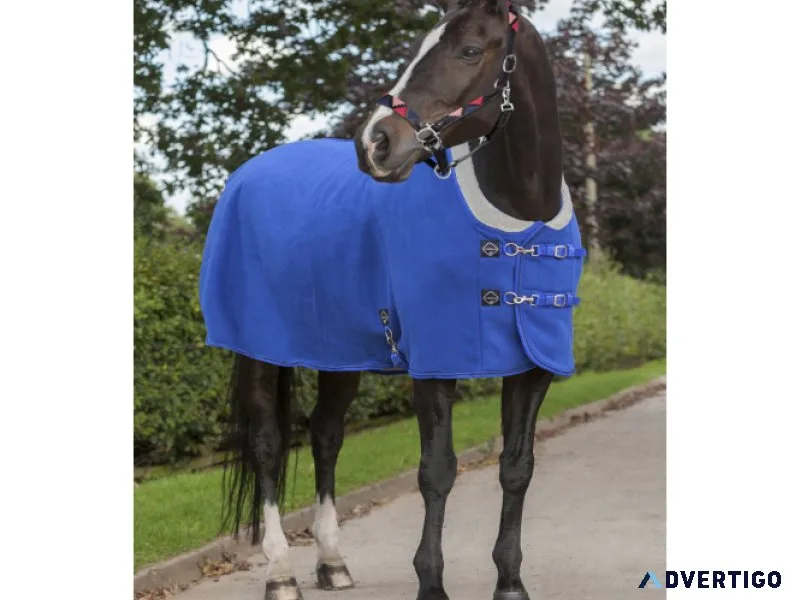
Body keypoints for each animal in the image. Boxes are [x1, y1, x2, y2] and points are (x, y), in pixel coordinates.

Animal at [198, 2, 584, 599]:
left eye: (469, 50)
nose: (375, 144)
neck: (517, 221)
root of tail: (246, 175)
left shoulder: (533, 367)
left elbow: (517, 467)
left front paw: (509, 582)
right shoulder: (435, 364)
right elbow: (438, 471)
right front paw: (431, 584)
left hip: (338, 352)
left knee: (325, 435)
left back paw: (332, 562)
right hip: (258, 349)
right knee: (266, 444)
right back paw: (281, 573)